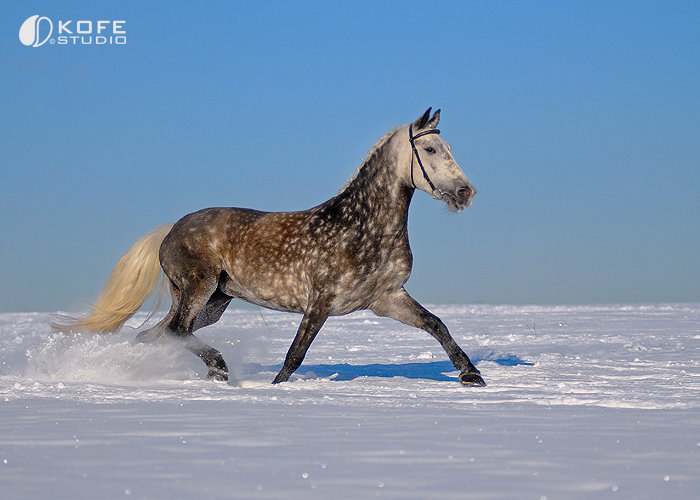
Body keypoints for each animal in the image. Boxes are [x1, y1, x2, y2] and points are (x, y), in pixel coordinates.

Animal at [57, 107, 484, 384]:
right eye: (430, 150)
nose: (466, 192)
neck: (364, 228)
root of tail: (171, 228)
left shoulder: (387, 297)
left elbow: (436, 323)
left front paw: (471, 375)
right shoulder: (321, 301)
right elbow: (295, 355)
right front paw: (277, 390)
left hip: (213, 300)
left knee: (157, 335)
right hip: (198, 288)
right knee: (175, 332)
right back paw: (218, 367)